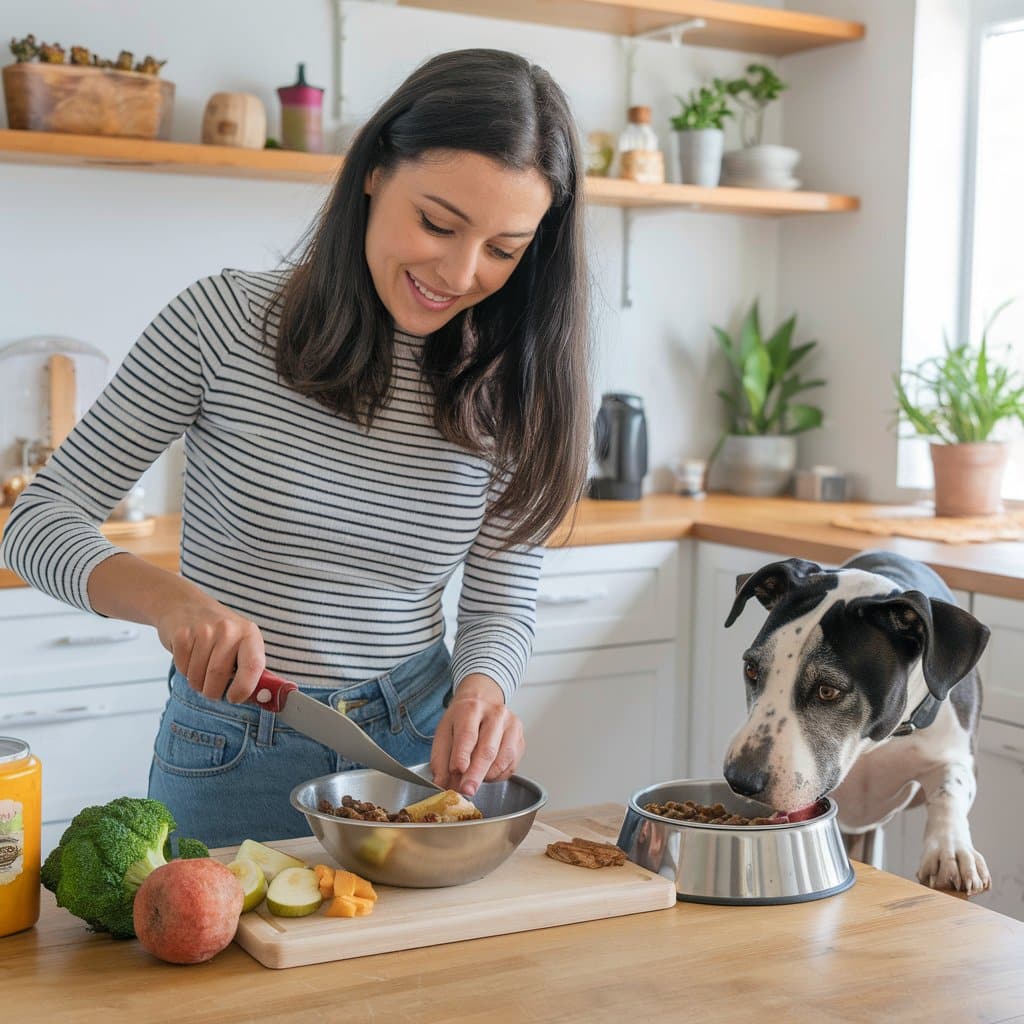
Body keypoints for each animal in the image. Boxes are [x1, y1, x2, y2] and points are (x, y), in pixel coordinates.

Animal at [720, 548, 991, 892]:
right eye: (751, 670)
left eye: (828, 690)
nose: (739, 781)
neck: (874, 744)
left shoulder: (957, 753)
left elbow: (950, 786)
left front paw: (951, 851)